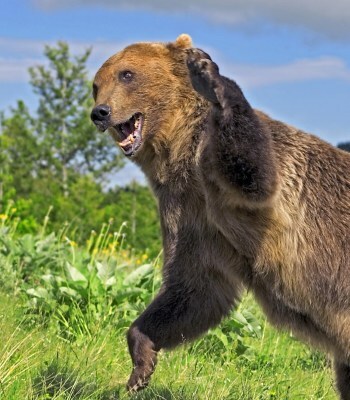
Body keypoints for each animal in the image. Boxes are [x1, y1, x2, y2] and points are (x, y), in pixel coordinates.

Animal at [91, 35, 350, 400]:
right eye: (96, 84)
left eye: (127, 74)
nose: (100, 112)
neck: (180, 153)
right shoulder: (189, 211)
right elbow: (196, 286)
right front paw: (141, 364)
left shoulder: (256, 178)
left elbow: (254, 174)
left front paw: (209, 76)